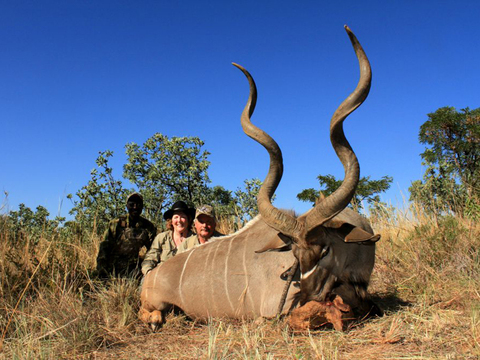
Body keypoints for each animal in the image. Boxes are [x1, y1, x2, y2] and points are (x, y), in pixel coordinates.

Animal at [139, 25, 378, 330]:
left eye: (324, 251)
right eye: (294, 255)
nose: (306, 293)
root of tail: (151, 276)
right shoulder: (279, 305)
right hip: (154, 302)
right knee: (149, 311)